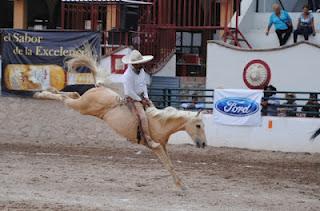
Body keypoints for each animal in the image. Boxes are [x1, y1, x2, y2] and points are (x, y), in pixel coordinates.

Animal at [33, 49, 208, 190]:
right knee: (65, 99)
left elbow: (170, 164)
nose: (204, 144)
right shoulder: (157, 147)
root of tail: (99, 87)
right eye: (198, 125)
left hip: (82, 104)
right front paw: (182, 186)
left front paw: (181, 184)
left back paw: (49, 90)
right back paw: (41, 93)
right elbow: (168, 165)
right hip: (82, 107)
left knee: (73, 94)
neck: (160, 123)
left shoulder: (164, 146)